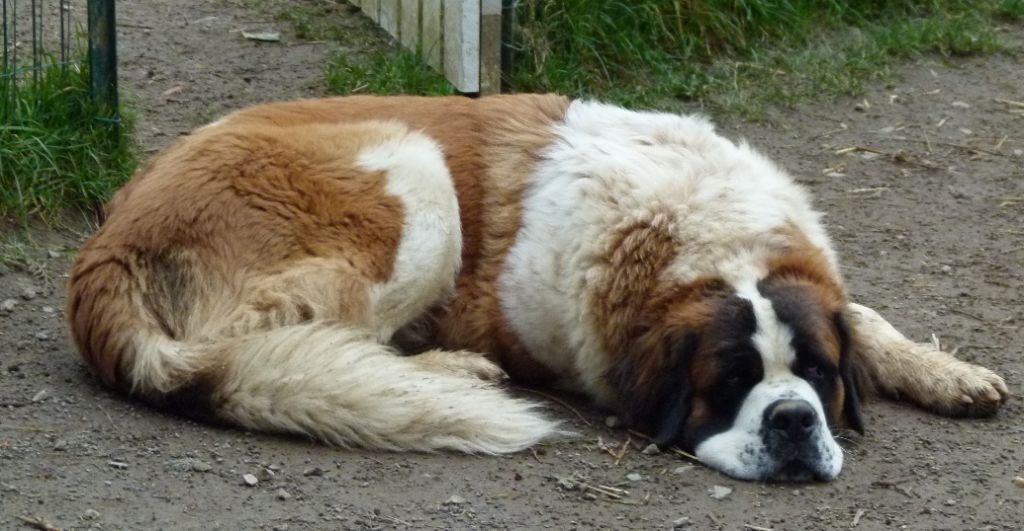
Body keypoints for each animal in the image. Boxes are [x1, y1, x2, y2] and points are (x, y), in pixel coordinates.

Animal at [66, 94, 1008, 482]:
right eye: (732, 382)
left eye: (814, 374)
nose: (790, 421)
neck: (698, 229)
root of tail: (104, 241)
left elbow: (867, 315)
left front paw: (946, 372)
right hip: (415, 174)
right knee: (261, 341)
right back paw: (445, 373)